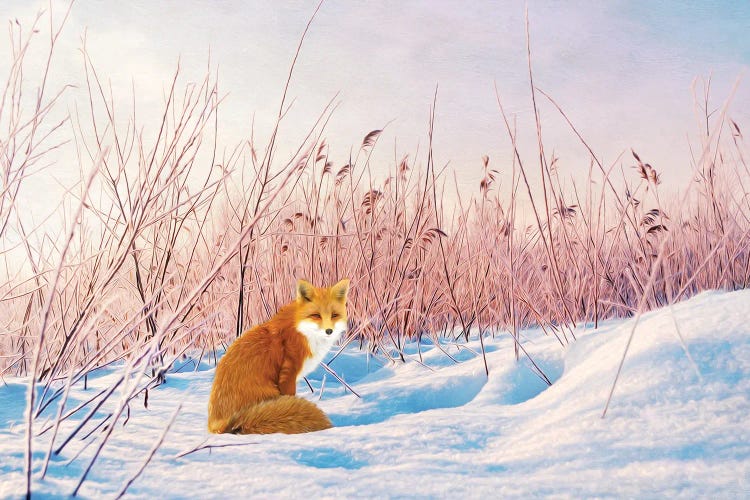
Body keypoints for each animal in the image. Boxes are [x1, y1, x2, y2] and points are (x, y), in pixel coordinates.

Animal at [210, 278, 352, 434]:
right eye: (316, 315)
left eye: (334, 315)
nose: (329, 331)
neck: (301, 331)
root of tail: (216, 423)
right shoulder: (288, 373)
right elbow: (291, 396)